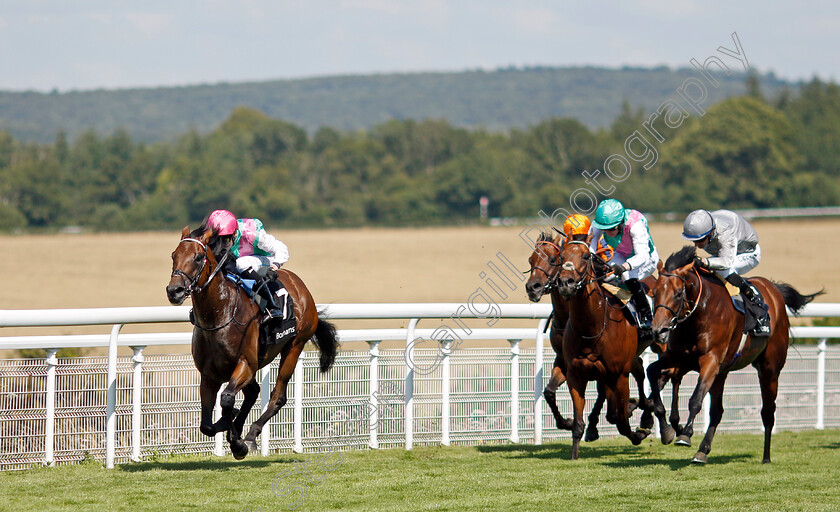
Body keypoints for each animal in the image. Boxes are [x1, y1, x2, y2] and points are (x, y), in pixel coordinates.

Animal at [166, 226, 340, 458]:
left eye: (198, 257)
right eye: (174, 255)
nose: (174, 290)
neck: (220, 314)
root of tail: (301, 287)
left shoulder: (246, 364)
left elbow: (227, 398)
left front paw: (237, 443)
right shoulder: (209, 374)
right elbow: (206, 425)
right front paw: (229, 425)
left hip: (295, 345)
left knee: (278, 396)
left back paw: (249, 435)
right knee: (253, 392)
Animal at [556, 236, 656, 460]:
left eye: (586, 256)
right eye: (561, 256)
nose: (565, 283)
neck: (592, 328)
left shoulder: (619, 375)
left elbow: (623, 423)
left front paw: (638, 434)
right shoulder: (576, 376)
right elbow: (578, 424)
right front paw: (574, 456)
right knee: (639, 371)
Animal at [648, 247, 820, 464]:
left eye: (678, 294)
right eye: (654, 293)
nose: (658, 331)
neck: (699, 314)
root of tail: (774, 290)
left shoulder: (711, 360)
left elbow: (695, 399)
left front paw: (685, 434)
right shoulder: (679, 358)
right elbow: (652, 373)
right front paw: (666, 430)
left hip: (769, 369)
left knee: (768, 412)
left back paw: (766, 457)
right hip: (722, 372)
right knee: (717, 411)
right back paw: (702, 450)